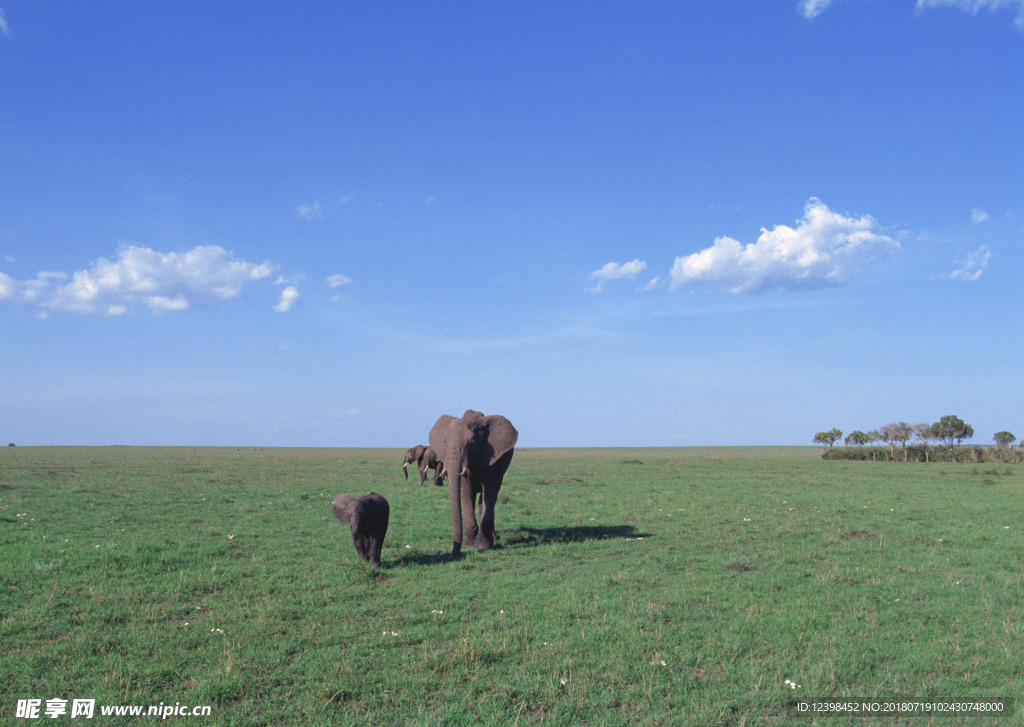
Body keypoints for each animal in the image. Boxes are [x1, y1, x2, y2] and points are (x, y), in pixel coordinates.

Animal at [428, 409, 516, 557]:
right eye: (445, 442)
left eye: (471, 442)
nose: (454, 553)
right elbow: (465, 493)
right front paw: (469, 544)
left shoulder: (489, 456)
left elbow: (489, 492)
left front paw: (482, 546)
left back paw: (493, 538)